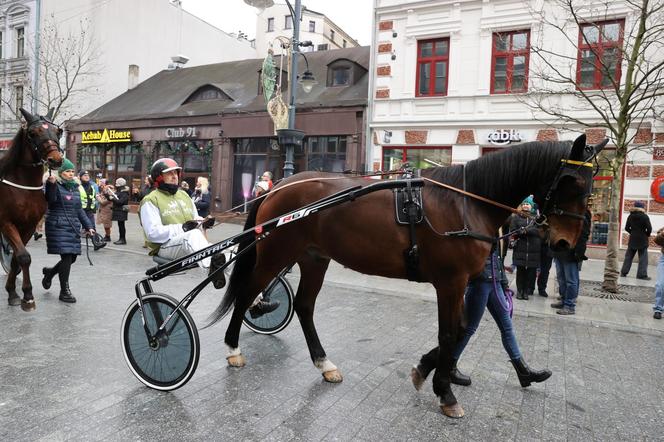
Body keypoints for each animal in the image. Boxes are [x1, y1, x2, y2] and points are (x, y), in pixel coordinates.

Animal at [0, 108, 63, 310]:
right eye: (33, 133)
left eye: (58, 131)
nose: (55, 159)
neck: (23, 187)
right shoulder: (6, 223)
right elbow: (24, 257)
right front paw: (27, 296)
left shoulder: (28, 225)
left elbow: (16, 258)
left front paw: (13, 292)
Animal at [209, 135, 608, 418]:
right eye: (571, 181)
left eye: (591, 184)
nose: (564, 243)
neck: (465, 202)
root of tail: (278, 186)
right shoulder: (450, 282)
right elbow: (450, 334)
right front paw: (445, 392)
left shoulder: (463, 284)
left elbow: (460, 331)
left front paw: (427, 370)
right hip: (277, 254)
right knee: (247, 293)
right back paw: (232, 348)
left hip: (314, 258)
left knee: (304, 307)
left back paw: (324, 363)